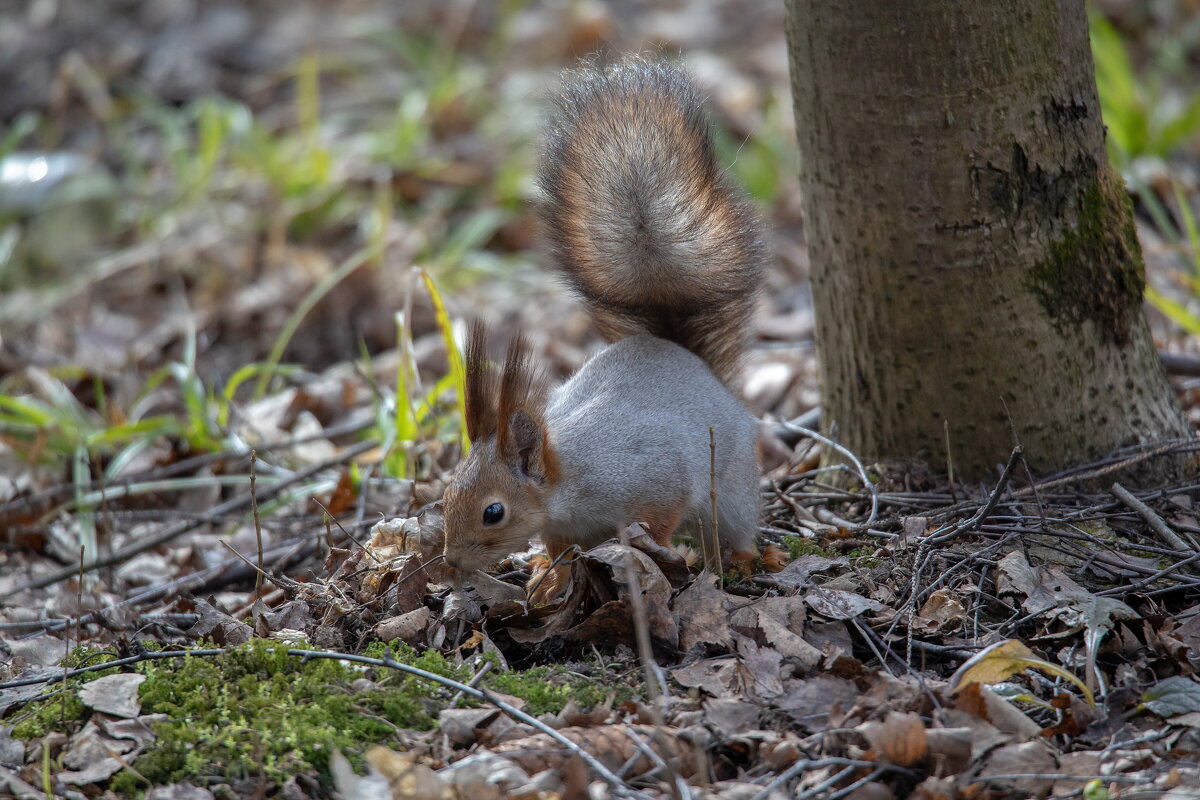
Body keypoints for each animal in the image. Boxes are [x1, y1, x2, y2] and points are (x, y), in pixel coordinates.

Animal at [444, 59, 768, 597]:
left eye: (493, 512)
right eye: (446, 494)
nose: (451, 563)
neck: (569, 481)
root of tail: (696, 365)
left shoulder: (651, 476)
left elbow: (660, 518)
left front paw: (657, 554)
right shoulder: (561, 529)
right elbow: (560, 555)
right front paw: (550, 584)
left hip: (734, 485)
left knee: (734, 525)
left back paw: (741, 560)